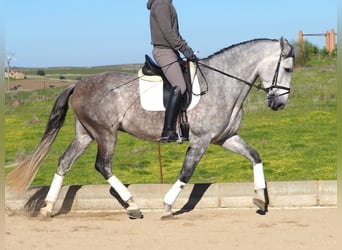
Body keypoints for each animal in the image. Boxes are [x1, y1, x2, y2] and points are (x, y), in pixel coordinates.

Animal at [6, 37, 294, 219]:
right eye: (288, 68)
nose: (279, 104)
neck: (222, 83)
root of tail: (77, 84)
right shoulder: (201, 141)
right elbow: (186, 172)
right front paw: (167, 206)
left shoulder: (226, 137)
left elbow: (255, 156)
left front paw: (260, 200)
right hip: (105, 133)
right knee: (103, 166)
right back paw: (133, 206)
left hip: (85, 134)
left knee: (64, 162)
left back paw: (48, 208)